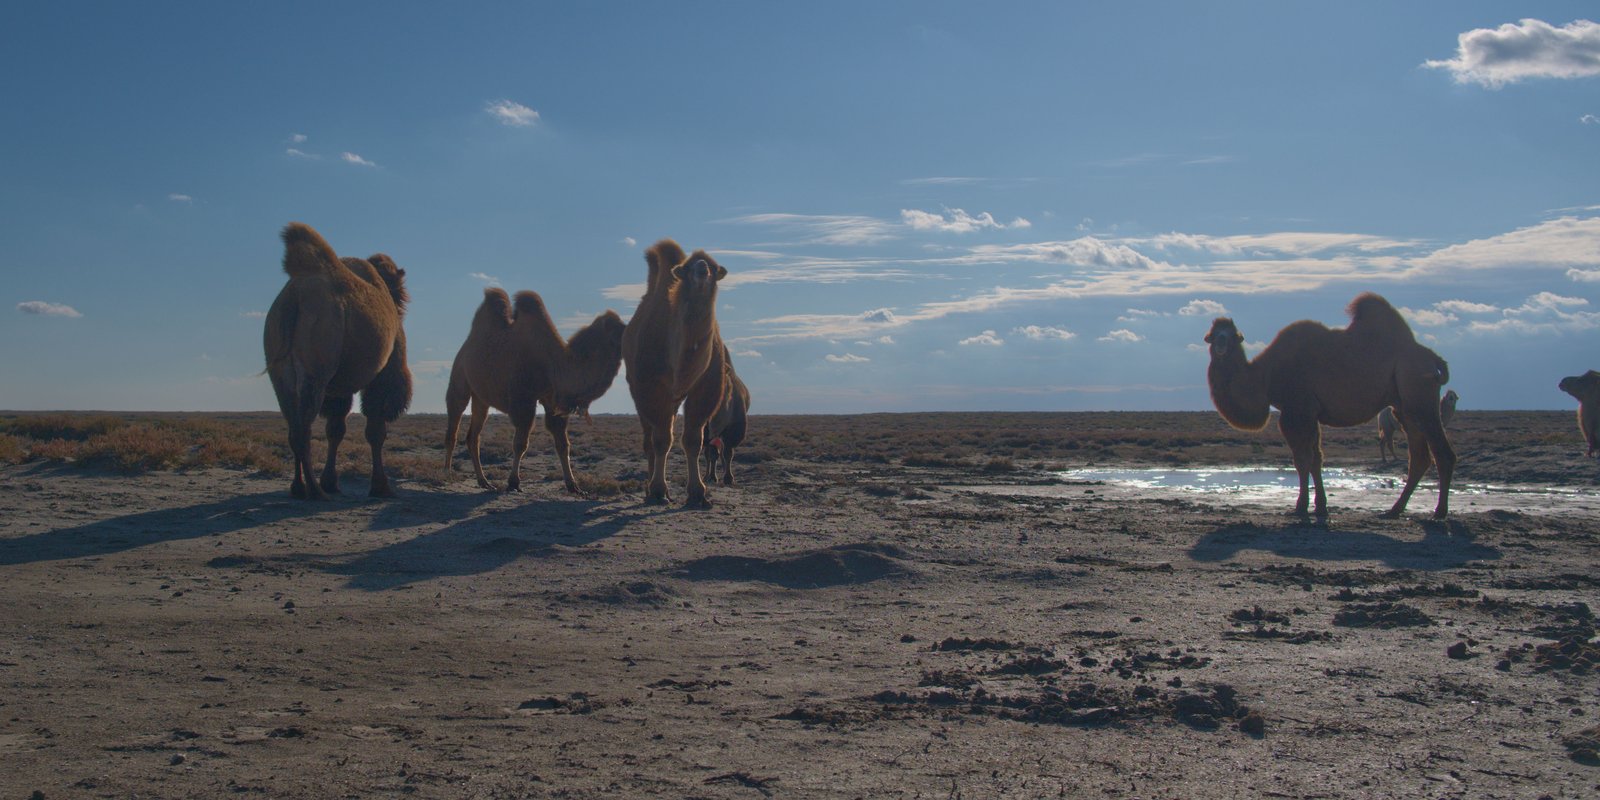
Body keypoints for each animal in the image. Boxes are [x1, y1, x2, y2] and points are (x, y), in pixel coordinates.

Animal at [264, 222, 412, 499]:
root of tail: (294, 296)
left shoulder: (338, 389)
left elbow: (335, 429)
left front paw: (331, 481)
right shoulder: (382, 376)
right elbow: (376, 431)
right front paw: (381, 486)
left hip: (279, 375)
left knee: (294, 426)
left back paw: (299, 487)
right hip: (316, 372)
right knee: (303, 428)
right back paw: (313, 490)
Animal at [443, 288, 625, 492]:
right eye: (619, 329)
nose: (632, 331)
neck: (553, 365)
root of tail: (465, 348)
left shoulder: (551, 400)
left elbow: (563, 444)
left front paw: (573, 485)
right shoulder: (523, 400)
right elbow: (520, 443)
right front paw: (514, 482)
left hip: (481, 397)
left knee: (473, 437)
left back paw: (484, 481)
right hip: (459, 379)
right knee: (453, 426)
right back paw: (447, 473)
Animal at [621, 239, 729, 508]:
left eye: (713, 266)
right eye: (689, 267)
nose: (702, 270)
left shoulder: (705, 387)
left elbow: (693, 439)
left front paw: (698, 493)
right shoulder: (652, 387)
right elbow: (661, 440)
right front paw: (658, 490)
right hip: (639, 391)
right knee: (650, 439)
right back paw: (649, 489)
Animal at [701, 357, 750, 486]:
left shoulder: (734, 428)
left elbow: (728, 453)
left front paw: (728, 478)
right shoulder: (706, 430)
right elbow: (712, 453)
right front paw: (712, 476)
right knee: (710, 453)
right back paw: (707, 476)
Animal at [1205, 292, 1455, 519]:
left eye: (1233, 335)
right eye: (1213, 334)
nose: (1221, 343)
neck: (1266, 376)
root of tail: (1433, 358)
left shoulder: (1296, 411)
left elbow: (1302, 459)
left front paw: (1300, 508)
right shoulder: (1312, 413)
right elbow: (1317, 459)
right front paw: (1321, 507)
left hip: (1419, 395)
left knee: (1442, 452)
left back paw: (1439, 512)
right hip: (1404, 407)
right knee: (1419, 457)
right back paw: (1394, 510)